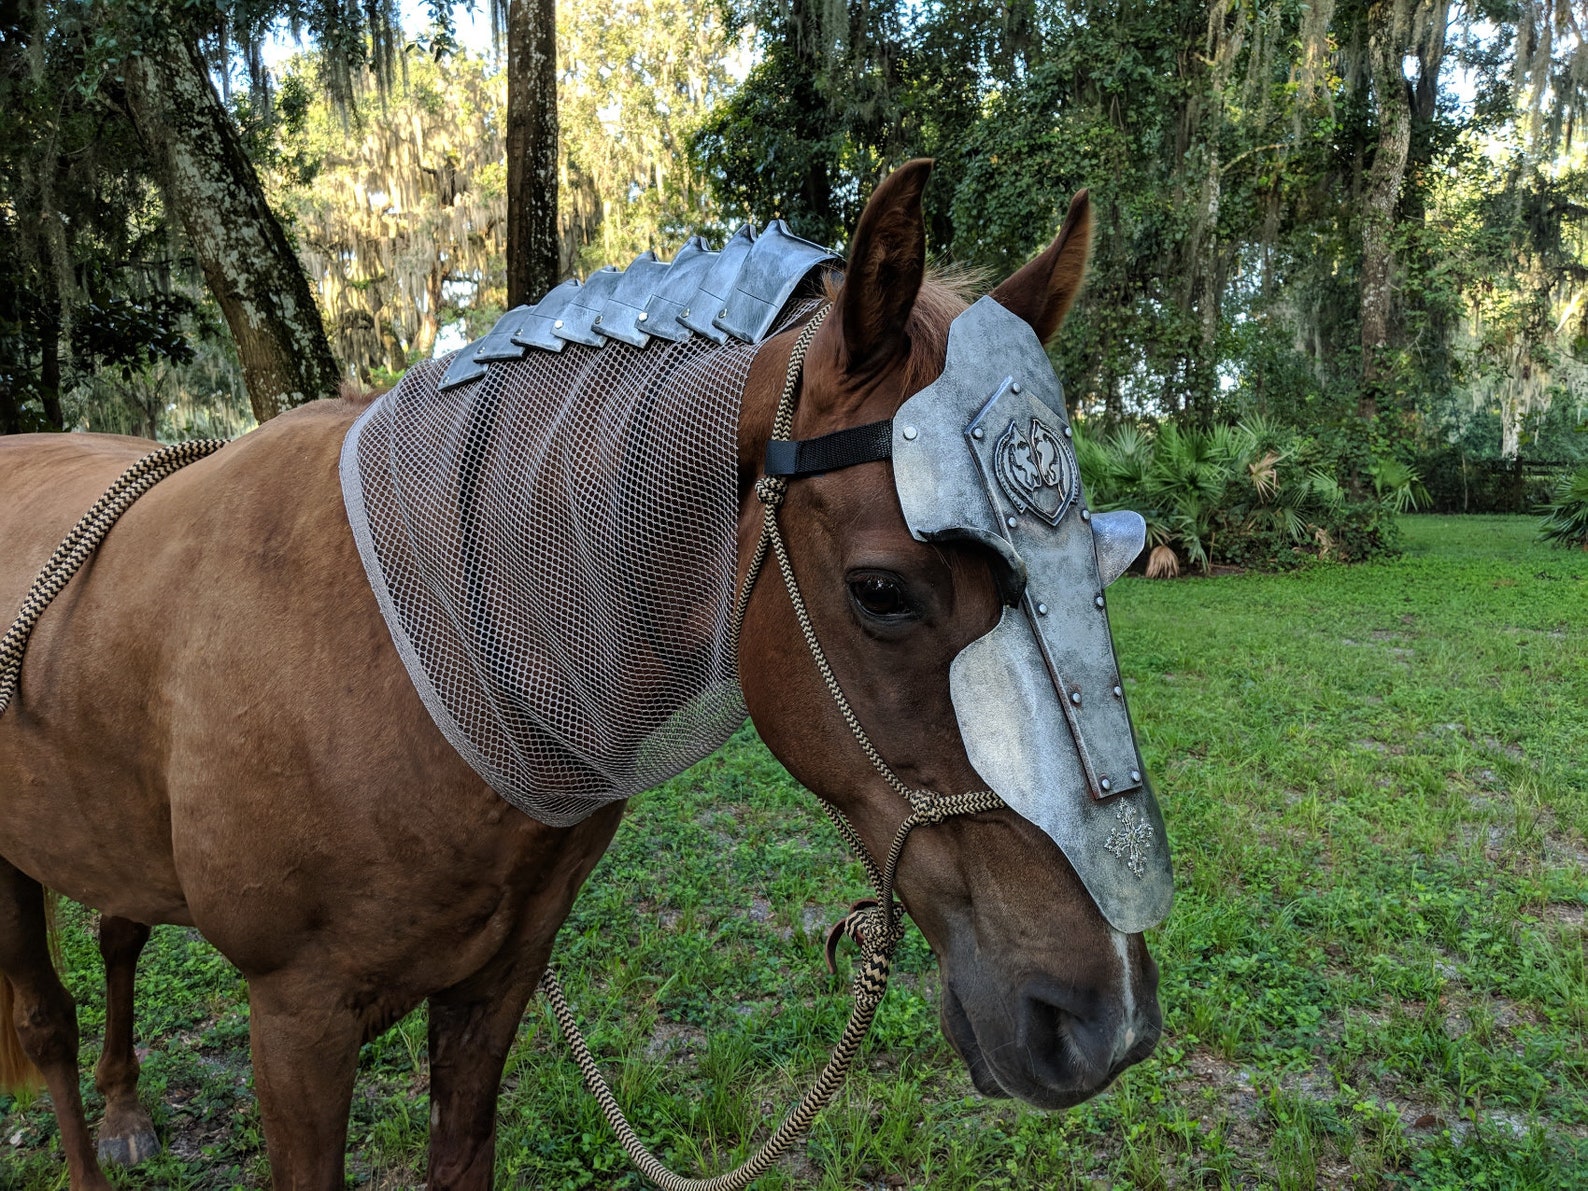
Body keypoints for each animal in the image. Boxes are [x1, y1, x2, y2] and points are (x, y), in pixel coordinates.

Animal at [0, 159, 1162, 1190]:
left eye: (1111, 554)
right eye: (881, 591)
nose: (1102, 1020)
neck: (410, 664)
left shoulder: (497, 982)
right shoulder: (296, 1019)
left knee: (116, 928)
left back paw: (126, 1110)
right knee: (48, 1020)